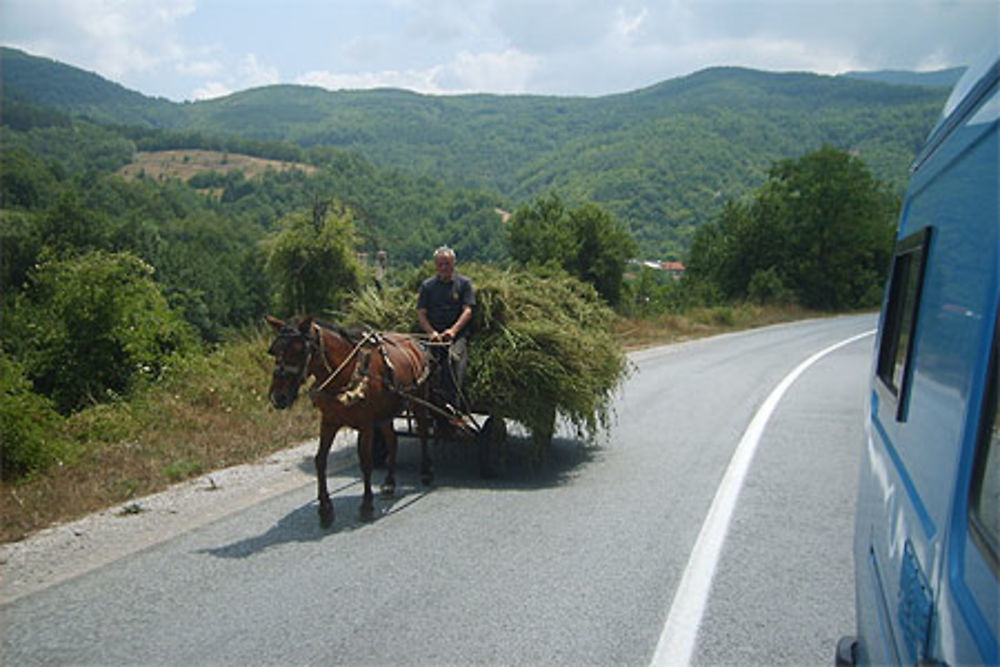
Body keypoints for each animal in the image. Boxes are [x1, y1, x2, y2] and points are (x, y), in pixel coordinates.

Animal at [266, 314, 434, 528]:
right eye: (274, 350)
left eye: (300, 349)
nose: (278, 397)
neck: (347, 373)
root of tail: (414, 342)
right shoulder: (329, 422)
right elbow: (320, 460)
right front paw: (325, 510)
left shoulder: (366, 424)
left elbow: (366, 461)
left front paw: (366, 505)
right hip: (385, 413)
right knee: (392, 440)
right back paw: (389, 482)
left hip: (418, 401)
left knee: (423, 433)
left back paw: (426, 471)